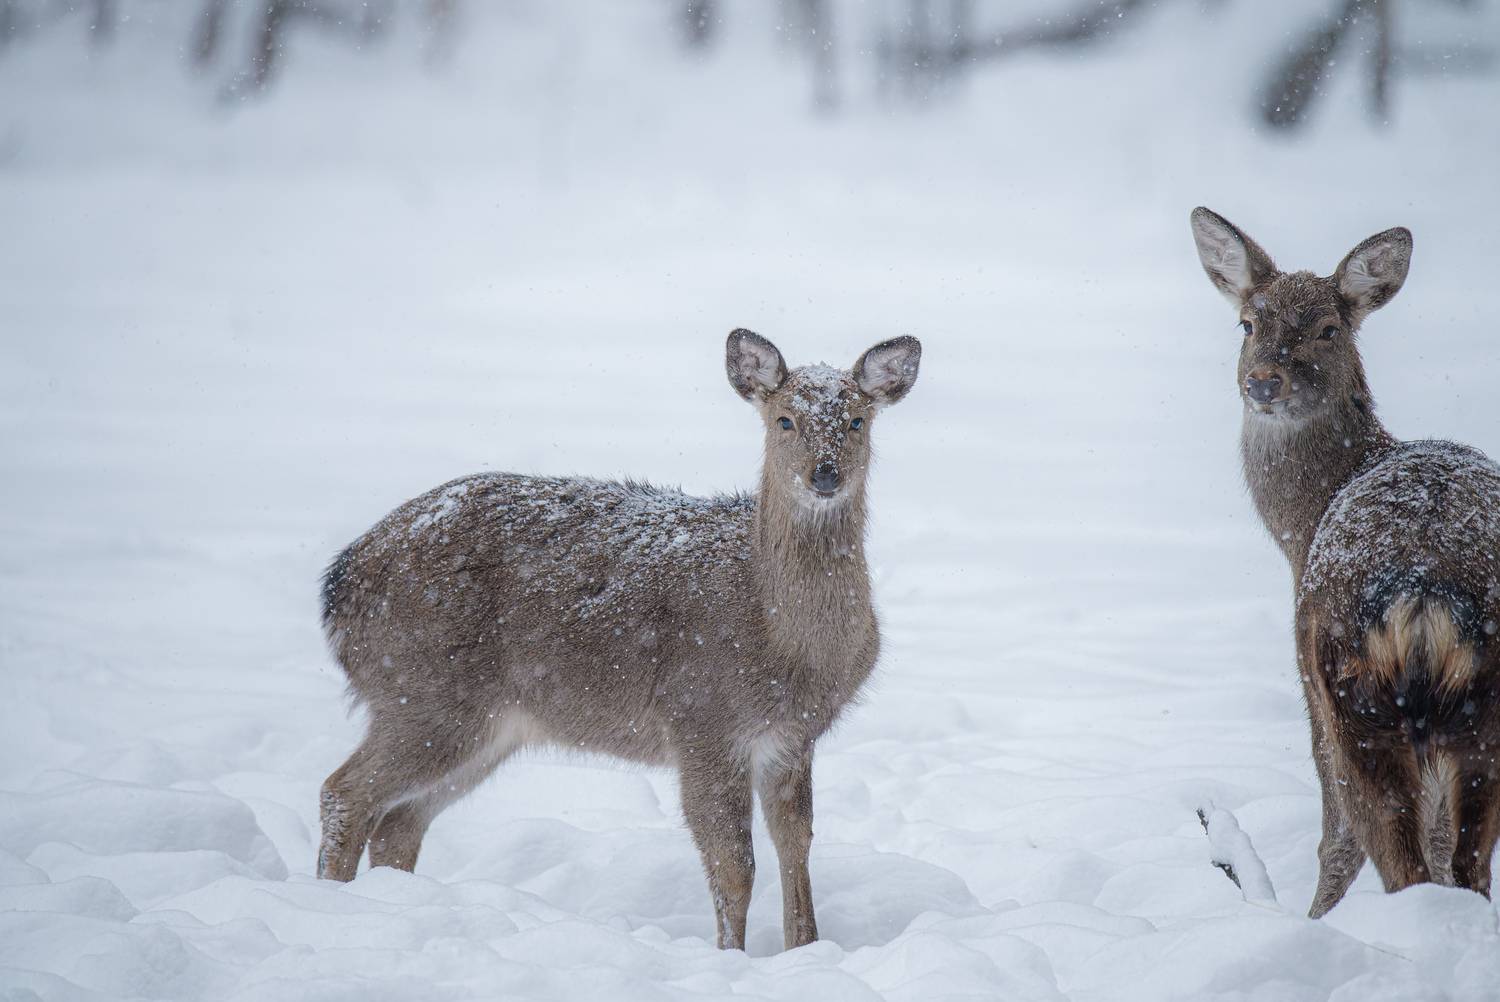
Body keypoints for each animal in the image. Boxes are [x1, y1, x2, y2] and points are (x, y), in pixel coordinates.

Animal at [315, 328, 922, 951]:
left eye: (857, 420)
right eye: (784, 420)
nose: (825, 474)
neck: (785, 643)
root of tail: (340, 586)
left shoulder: (793, 738)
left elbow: (796, 847)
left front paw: (806, 949)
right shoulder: (701, 720)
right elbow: (735, 864)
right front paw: (731, 958)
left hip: (488, 724)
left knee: (398, 822)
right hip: (423, 691)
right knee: (345, 793)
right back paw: (332, 903)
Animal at [1190, 207, 1500, 917]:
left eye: (1329, 328)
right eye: (1248, 323)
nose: (1263, 382)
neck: (1301, 529)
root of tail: (1424, 590)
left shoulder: (1307, 684)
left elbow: (1337, 842)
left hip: (1349, 691)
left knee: (1392, 855)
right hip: (1481, 713)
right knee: (1464, 867)